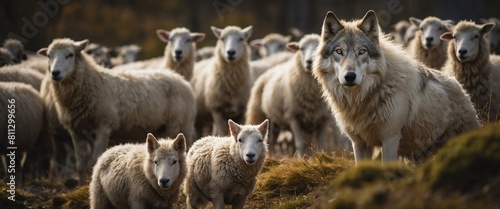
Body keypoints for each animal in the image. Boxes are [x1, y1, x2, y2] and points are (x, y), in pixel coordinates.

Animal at [37, 38, 196, 185]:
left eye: (70, 55)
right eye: (49, 56)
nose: (55, 73)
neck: (92, 84)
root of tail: (181, 79)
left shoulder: (103, 128)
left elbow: (93, 162)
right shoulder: (76, 131)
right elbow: (81, 164)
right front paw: (80, 186)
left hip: (179, 125)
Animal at [312, 10, 480, 163]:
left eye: (362, 51)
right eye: (339, 51)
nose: (350, 76)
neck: (363, 97)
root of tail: (461, 88)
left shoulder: (390, 139)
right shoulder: (359, 143)